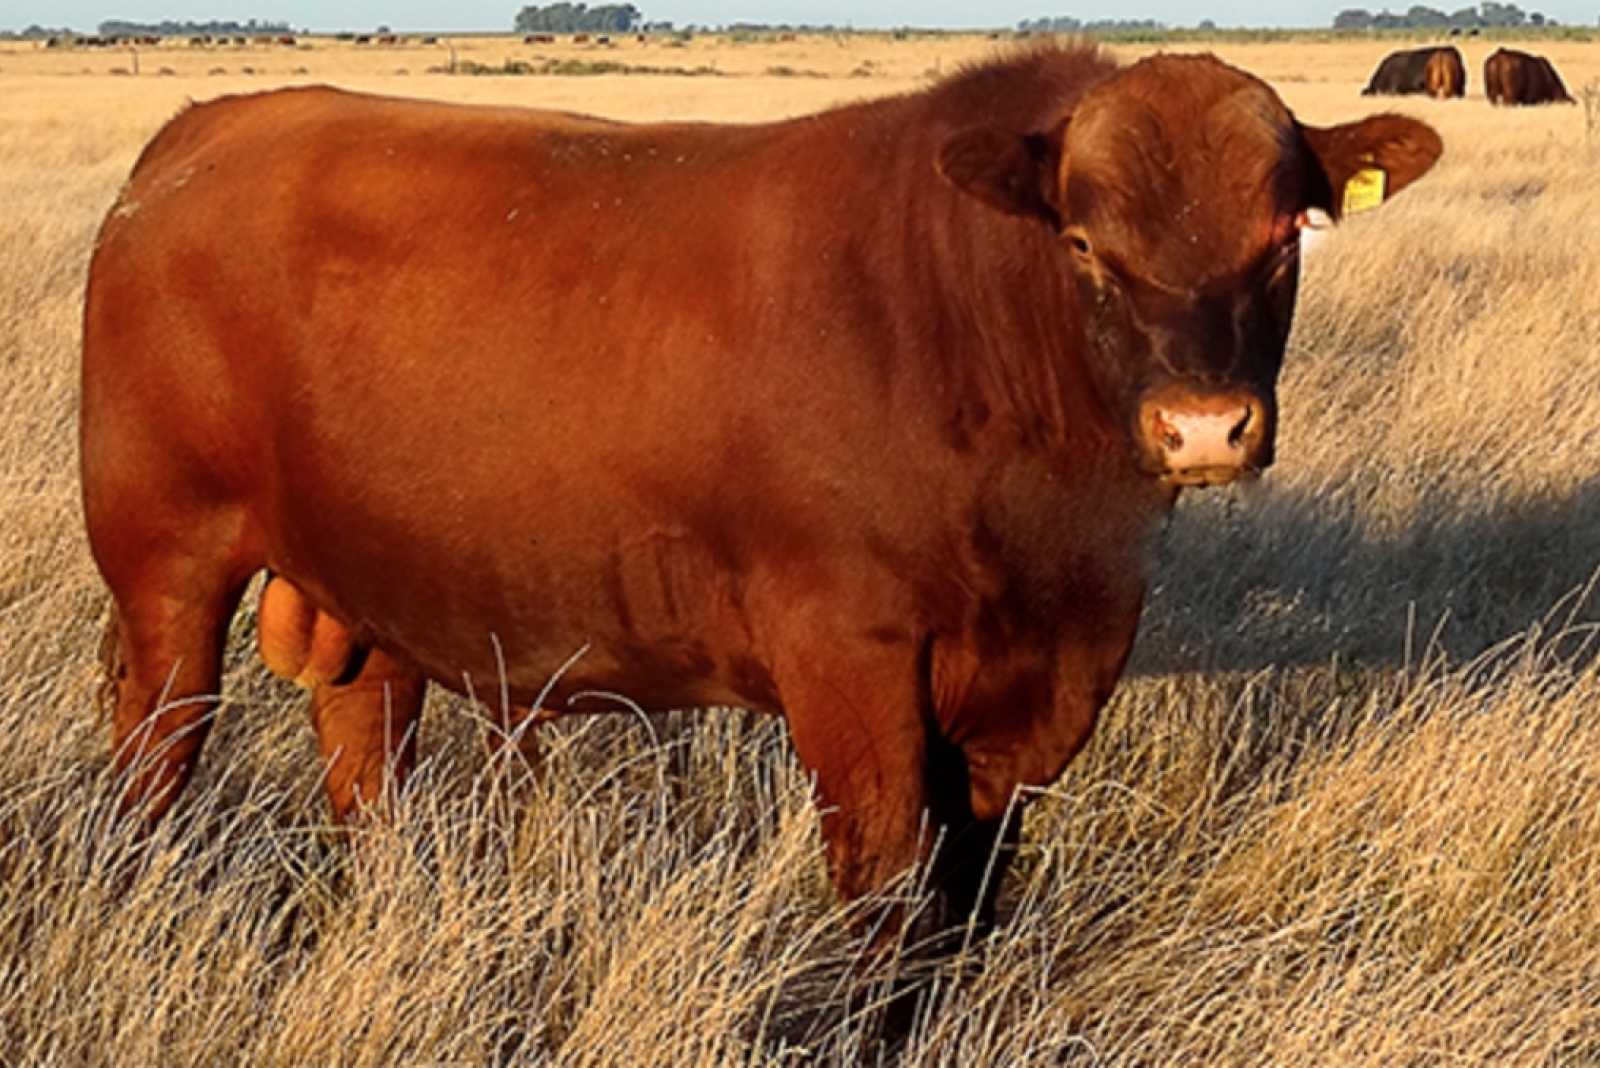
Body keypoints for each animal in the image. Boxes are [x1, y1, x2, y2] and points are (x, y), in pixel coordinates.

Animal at [81, 45, 1446, 940]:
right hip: (163, 562)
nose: (1204, 425)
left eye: (1284, 237)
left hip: (362, 579)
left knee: (364, 748)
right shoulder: (849, 659)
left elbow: (971, 898)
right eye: (1081, 245)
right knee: (159, 746)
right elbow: (888, 893)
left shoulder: (1040, 680)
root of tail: (206, 129)